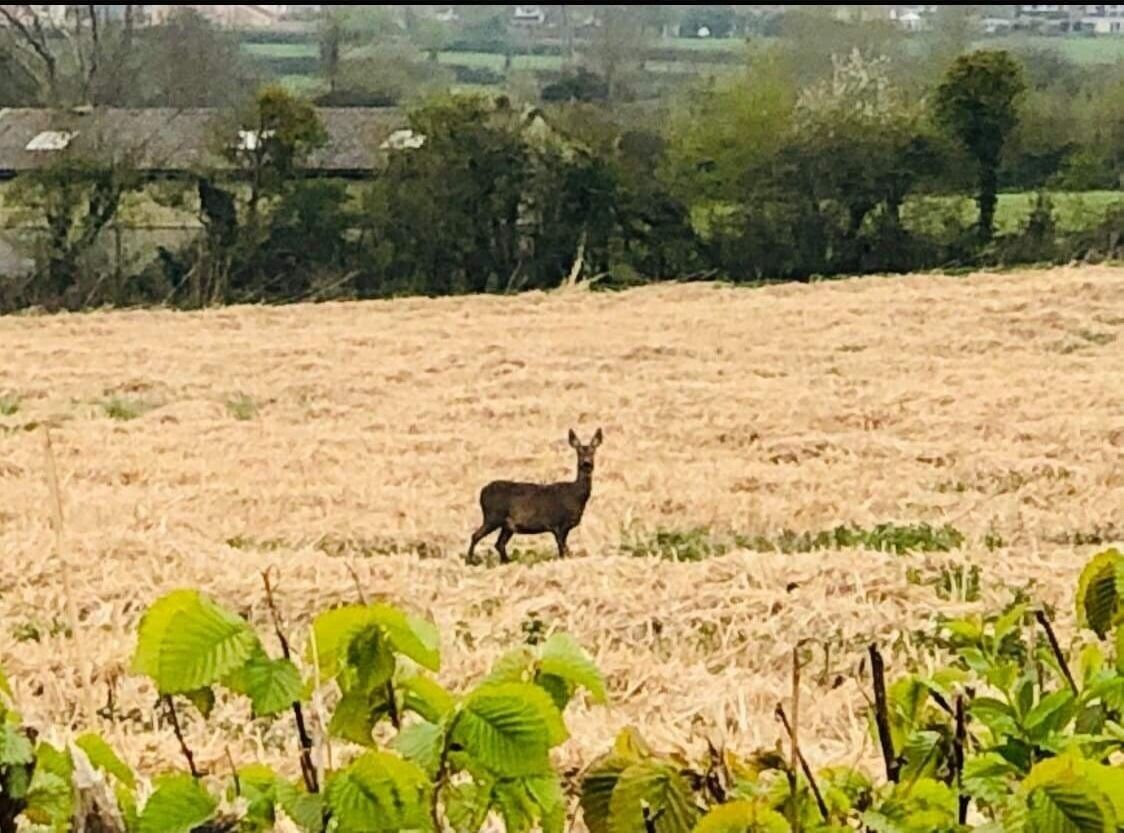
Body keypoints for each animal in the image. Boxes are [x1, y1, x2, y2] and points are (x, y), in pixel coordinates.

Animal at [466, 429, 603, 565]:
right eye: (579, 452)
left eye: (593, 451)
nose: (587, 463)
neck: (576, 495)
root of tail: (482, 491)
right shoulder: (559, 524)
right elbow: (562, 548)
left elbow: (563, 548)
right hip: (493, 516)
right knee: (476, 536)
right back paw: (470, 561)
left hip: (507, 524)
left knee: (499, 543)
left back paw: (506, 561)